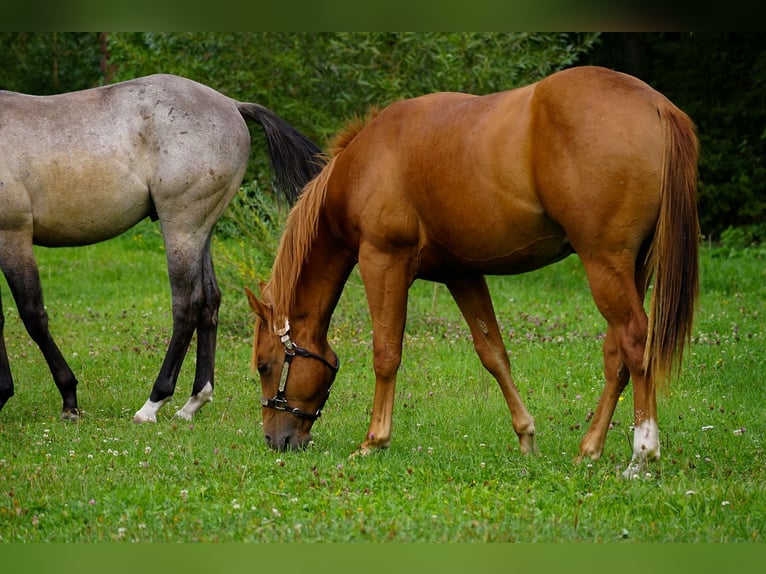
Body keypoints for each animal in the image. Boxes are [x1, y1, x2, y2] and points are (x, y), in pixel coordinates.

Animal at [0, 73, 322, 423]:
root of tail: (231, 105)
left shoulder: (12, 235)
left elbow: (32, 316)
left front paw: (68, 398)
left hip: (181, 228)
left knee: (187, 306)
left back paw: (153, 403)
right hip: (200, 231)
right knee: (210, 302)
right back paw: (193, 402)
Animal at [246, 65, 699, 478]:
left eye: (265, 365)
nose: (274, 439)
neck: (366, 163)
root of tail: (655, 104)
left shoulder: (382, 261)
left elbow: (386, 353)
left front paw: (374, 441)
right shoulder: (461, 274)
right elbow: (493, 354)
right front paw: (526, 436)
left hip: (604, 264)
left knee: (636, 341)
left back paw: (642, 454)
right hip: (633, 268)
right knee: (617, 355)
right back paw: (589, 450)